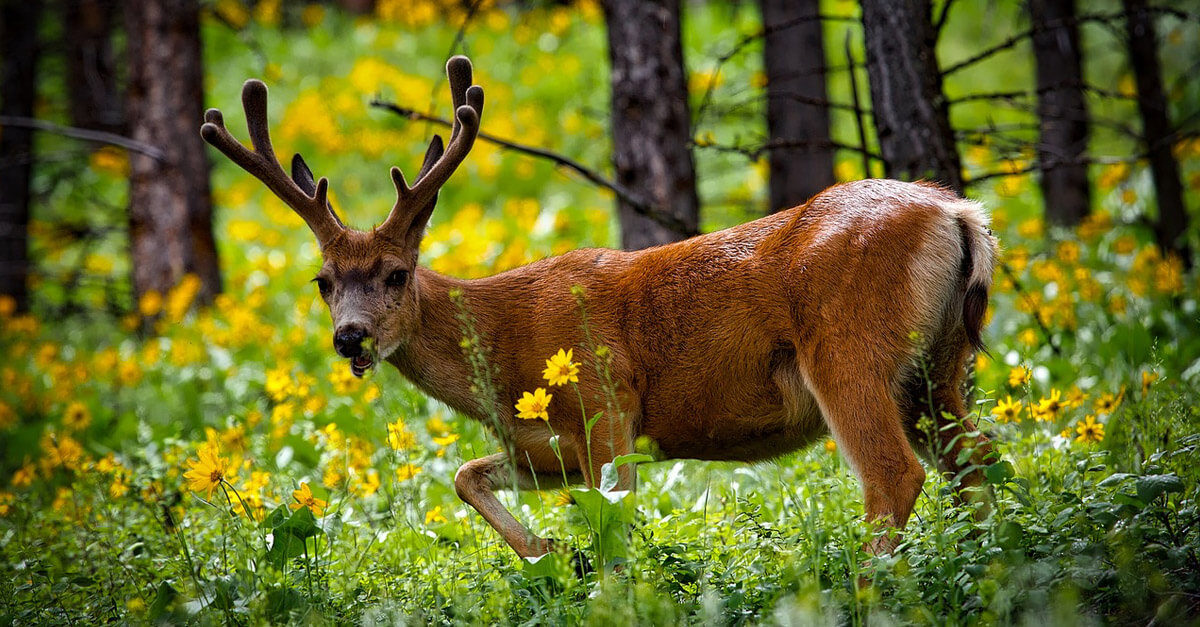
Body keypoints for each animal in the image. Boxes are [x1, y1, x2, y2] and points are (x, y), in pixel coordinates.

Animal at [199, 56, 1003, 559]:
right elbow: (465, 475)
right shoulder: (545, 446)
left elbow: (615, 531)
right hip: (939, 364)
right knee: (978, 463)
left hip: (847, 349)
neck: (503, 347)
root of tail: (958, 213)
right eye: (322, 281)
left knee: (895, 477)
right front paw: (549, 553)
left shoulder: (607, 406)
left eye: (396, 274)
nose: (351, 337)